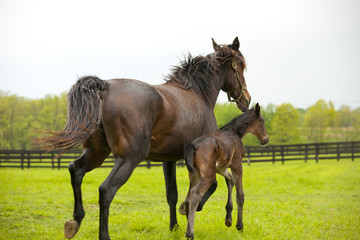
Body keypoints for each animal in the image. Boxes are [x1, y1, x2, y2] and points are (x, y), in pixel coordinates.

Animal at [39, 36, 250, 239]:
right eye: (239, 65)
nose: (246, 99)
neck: (197, 94)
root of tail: (104, 86)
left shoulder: (169, 160)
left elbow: (172, 194)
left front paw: (174, 227)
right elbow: (211, 186)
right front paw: (190, 209)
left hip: (96, 153)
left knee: (76, 170)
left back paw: (74, 222)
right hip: (129, 159)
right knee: (106, 190)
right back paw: (103, 234)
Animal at [179, 103, 268, 240]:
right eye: (262, 121)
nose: (265, 140)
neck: (233, 133)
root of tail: (193, 145)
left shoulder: (221, 168)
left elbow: (230, 180)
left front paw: (228, 219)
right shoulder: (237, 164)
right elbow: (240, 194)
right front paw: (240, 226)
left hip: (194, 175)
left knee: (188, 196)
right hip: (208, 176)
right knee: (195, 194)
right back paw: (190, 234)